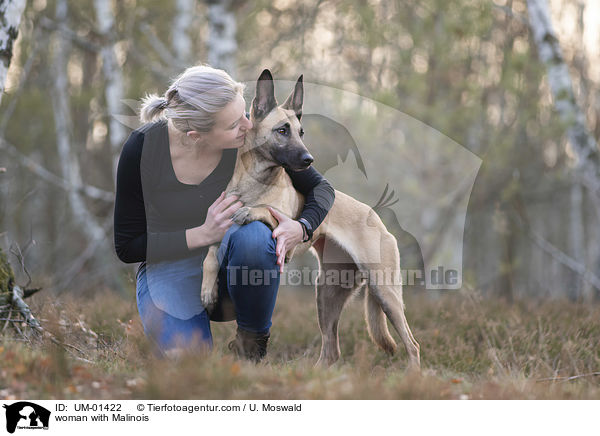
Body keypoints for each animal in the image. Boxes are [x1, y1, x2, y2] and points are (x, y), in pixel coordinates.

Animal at [200, 70, 418, 370]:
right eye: (282, 130)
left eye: (301, 132)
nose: (308, 159)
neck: (254, 181)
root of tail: (377, 219)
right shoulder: (216, 229)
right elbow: (209, 256)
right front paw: (207, 289)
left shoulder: (283, 227)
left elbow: (267, 210)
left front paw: (252, 211)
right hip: (326, 295)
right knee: (331, 350)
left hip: (385, 293)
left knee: (412, 345)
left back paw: (413, 374)